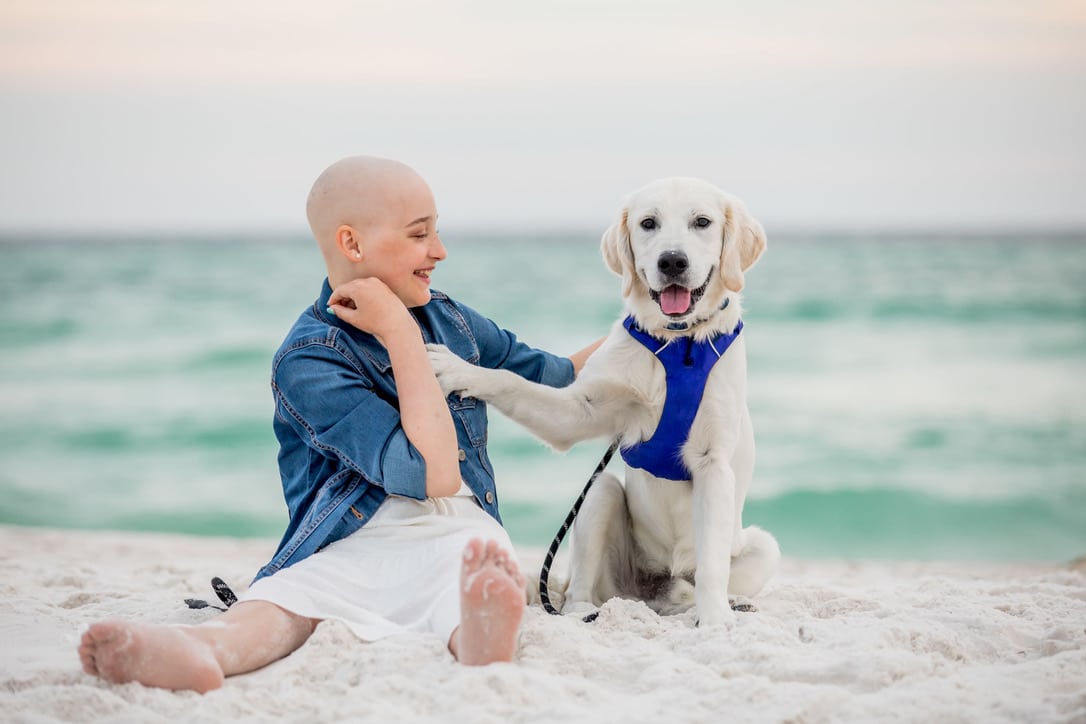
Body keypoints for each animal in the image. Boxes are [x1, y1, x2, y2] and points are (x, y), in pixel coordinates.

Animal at [427, 178, 777, 625]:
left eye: (702, 222)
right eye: (648, 223)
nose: (672, 262)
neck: (677, 344)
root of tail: (654, 589)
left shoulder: (713, 462)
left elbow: (712, 564)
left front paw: (715, 618)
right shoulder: (580, 411)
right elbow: (510, 381)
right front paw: (459, 369)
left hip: (762, 547)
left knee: (699, 579)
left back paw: (722, 602)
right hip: (600, 496)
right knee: (580, 585)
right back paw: (582, 612)